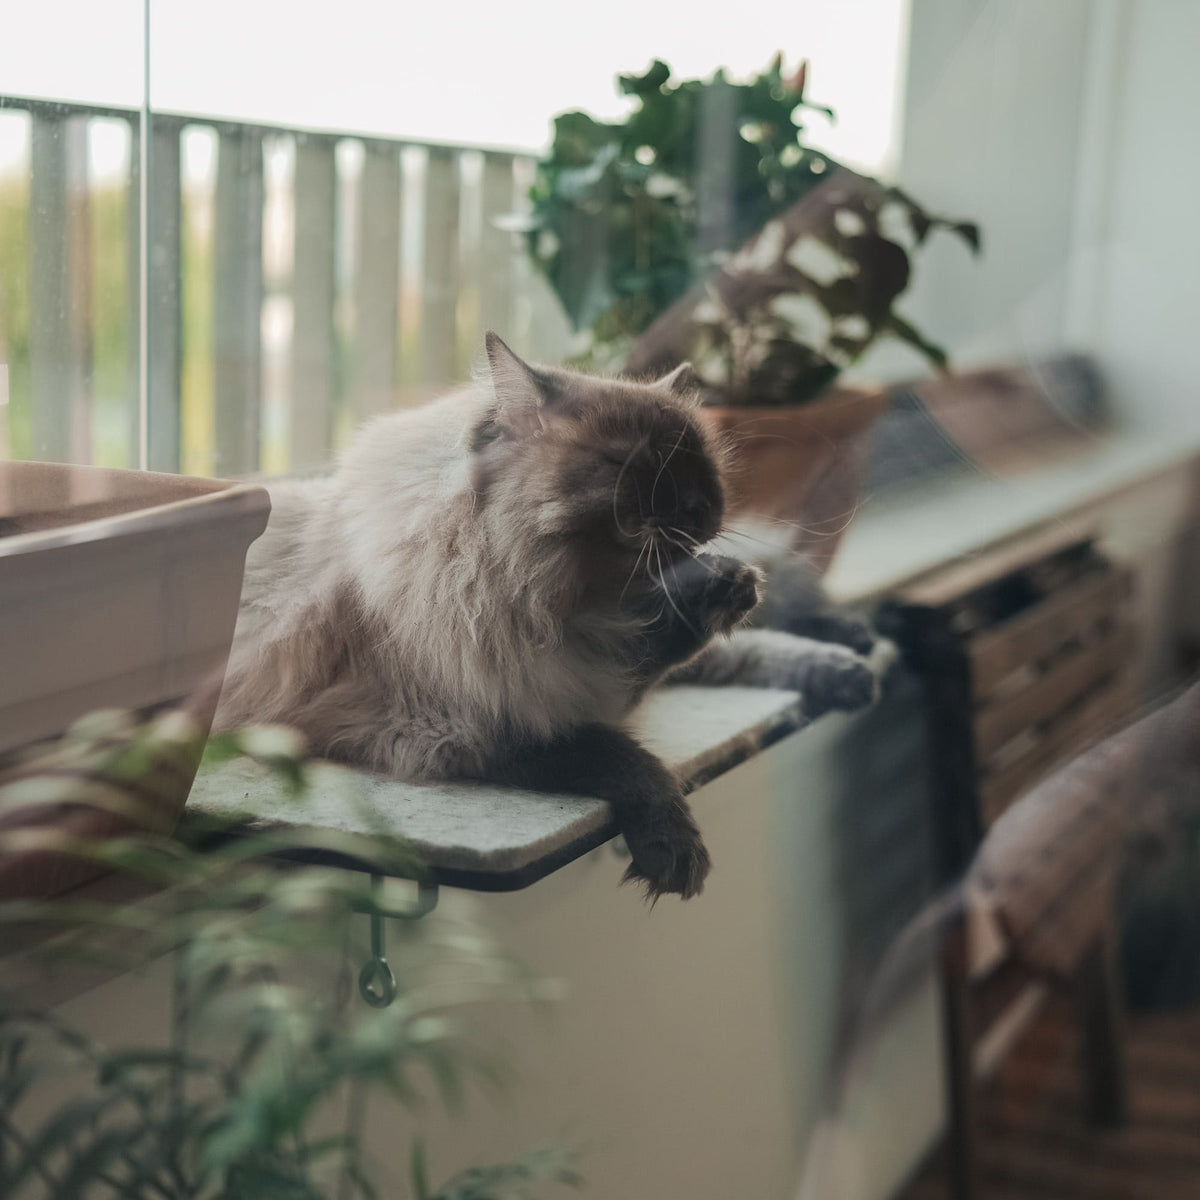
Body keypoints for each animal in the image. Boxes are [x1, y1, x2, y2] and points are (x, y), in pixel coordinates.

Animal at [216, 333, 873, 897]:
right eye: (635, 466)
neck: (573, 604)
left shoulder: (590, 666)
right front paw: (674, 847)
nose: (703, 509)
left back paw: (852, 644)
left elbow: (723, 650)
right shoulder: (471, 724)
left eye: (702, 466)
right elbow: (623, 755)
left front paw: (764, 609)